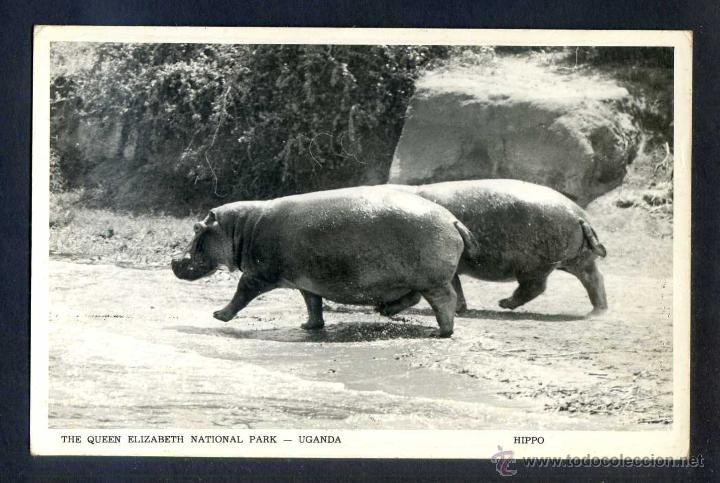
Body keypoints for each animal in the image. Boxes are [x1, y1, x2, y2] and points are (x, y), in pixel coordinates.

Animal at [171, 186, 480, 337]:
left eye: (197, 228)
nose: (174, 261)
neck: (239, 228)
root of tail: (452, 220)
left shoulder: (257, 274)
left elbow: (240, 294)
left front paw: (218, 315)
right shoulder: (306, 281)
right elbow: (312, 303)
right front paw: (309, 327)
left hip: (432, 280)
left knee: (445, 300)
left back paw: (443, 332)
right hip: (412, 278)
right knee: (413, 297)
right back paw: (384, 310)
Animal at [386, 179, 608, 315]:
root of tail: (580, 216)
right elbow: (457, 286)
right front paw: (460, 309)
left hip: (534, 266)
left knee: (534, 287)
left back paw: (504, 303)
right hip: (578, 260)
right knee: (594, 279)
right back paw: (597, 311)